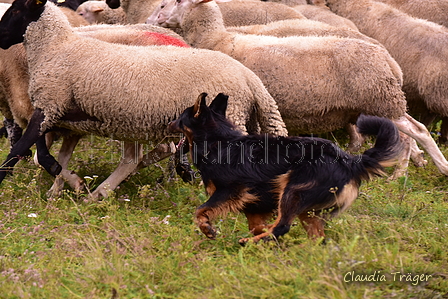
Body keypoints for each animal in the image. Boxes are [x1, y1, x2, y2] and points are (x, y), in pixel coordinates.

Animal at [0, 0, 288, 198]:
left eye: (14, 10)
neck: (56, 47)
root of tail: (250, 78)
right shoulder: (63, 118)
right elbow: (46, 155)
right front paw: (62, 189)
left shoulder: (49, 106)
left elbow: (23, 150)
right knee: (133, 159)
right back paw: (101, 193)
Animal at [149, 0, 448, 178]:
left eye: (177, 2)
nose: (154, 19)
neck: (219, 39)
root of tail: (388, 59)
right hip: (385, 102)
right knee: (413, 130)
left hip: (381, 99)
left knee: (416, 132)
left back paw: (419, 170)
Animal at [169, 94, 402, 246]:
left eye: (179, 118)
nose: (169, 123)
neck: (218, 142)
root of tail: (350, 161)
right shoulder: (255, 205)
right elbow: (256, 224)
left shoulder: (231, 190)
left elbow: (200, 210)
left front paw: (207, 229)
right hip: (306, 208)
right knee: (317, 238)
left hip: (292, 190)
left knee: (282, 227)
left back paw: (249, 242)